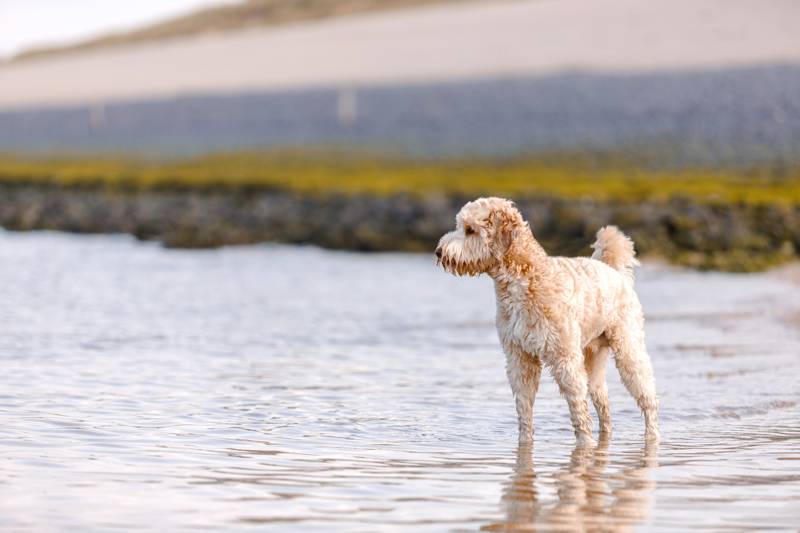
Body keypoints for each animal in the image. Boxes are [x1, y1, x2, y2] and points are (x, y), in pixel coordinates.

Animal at [438, 196, 656, 444]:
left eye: (470, 230)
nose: (438, 251)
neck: (523, 280)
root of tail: (615, 271)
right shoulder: (519, 357)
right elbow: (524, 406)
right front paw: (525, 443)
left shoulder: (565, 357)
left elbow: (578, 407)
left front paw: (584, 444)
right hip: (593, 357)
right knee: (603, 402)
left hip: (629, 348)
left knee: (647, 396)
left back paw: (651, 435)